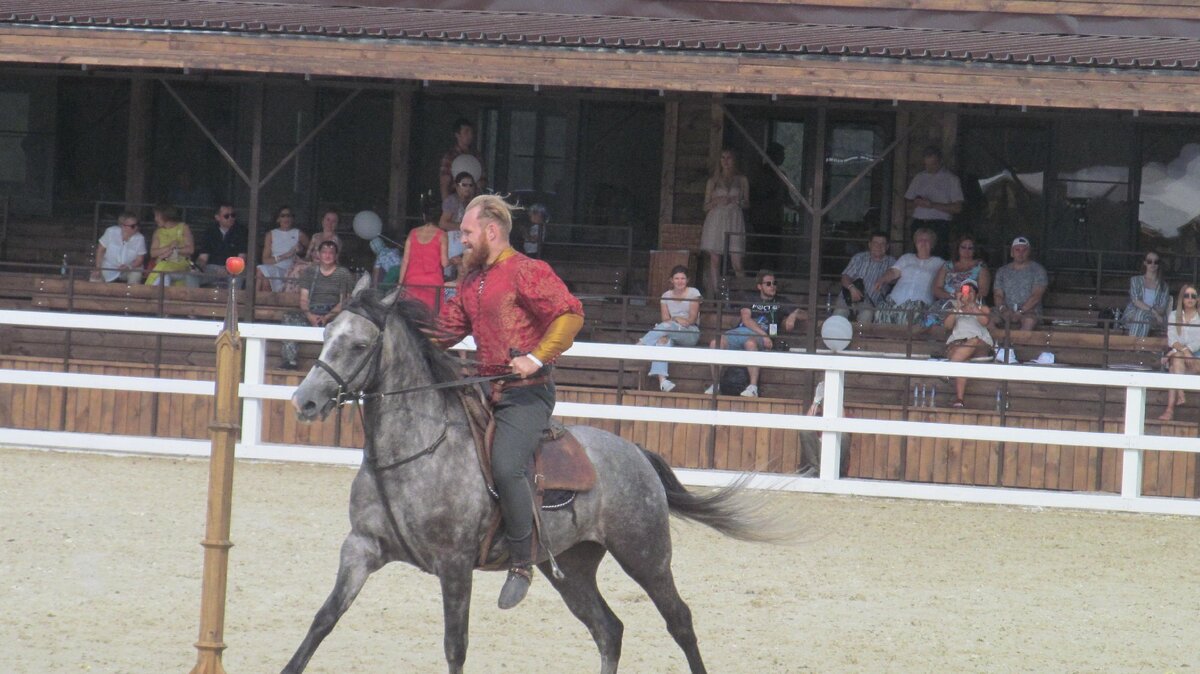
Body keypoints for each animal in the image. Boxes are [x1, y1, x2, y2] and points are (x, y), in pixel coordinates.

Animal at [283, 279, 777, 671]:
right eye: (325, 334)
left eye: (359, 345)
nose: (305, 401)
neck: (413, 449)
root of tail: (634, 451)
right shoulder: (361, 548)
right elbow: (321, 621)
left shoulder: (454, 565)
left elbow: (455, 647)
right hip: (571, 568)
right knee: (609, 630)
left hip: (646, 556)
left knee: (680, 621)